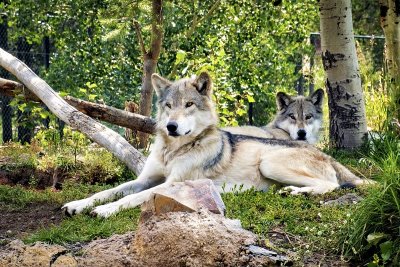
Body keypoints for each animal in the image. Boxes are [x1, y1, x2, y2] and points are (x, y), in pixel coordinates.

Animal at [61, 73, 372, 218]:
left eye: (189, 105)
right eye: (169, 106)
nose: (171, 126)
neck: (174, 150)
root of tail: (320, 151)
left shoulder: (171, 185)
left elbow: (126, 200)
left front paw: (104, 211)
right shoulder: (145, 179)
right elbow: (108, 191)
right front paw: (78, 204)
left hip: (269, 162)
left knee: (331, 185)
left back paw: (296, 192)